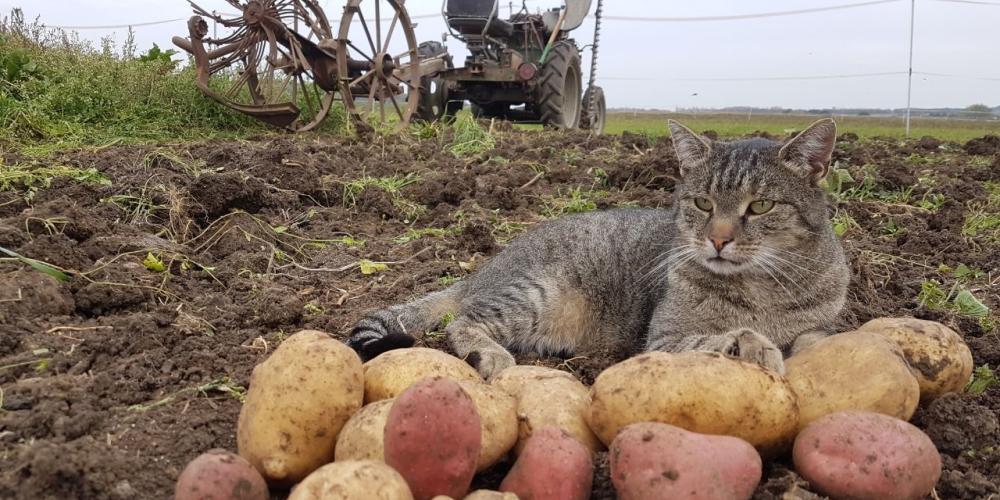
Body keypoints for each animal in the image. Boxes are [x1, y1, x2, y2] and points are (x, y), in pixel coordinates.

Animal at [348, 119, 848, 376]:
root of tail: (482, 270)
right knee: (463, 322)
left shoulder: (818, 320)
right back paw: (489, 356)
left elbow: (817, 335)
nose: (719, 239)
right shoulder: (662, 338)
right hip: (535, 296)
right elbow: (719, 336)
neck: (763, 288)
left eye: (761, 206)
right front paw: (755, 345)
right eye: (703, 202)